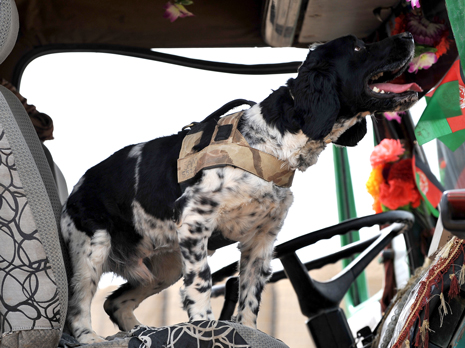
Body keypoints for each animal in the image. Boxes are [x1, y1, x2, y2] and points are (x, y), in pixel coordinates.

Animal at [61, 32, 420, 342]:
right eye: (358, 48)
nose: (407, 36)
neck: (271, 142)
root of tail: (75, 189)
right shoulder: (195, 221)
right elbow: (201, 287)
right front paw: (204, 329)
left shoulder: (262, 240)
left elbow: (249, 300)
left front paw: (247, 331)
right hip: (93, 249)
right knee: (77, 308)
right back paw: (92, 339)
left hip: (165, 267)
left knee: (114, 302)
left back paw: (138, 332)